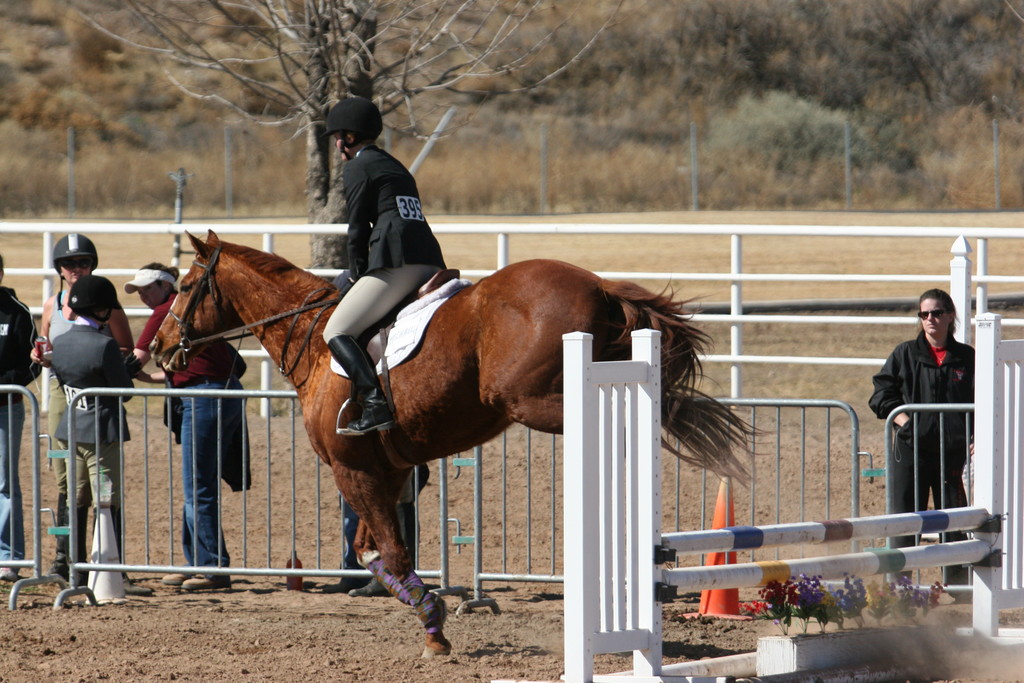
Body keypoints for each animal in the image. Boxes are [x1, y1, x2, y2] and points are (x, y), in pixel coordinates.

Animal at [151, 232, 749, 659]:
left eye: (186, 286)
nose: (158, 349)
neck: (315, 344)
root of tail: (599, 286)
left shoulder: (352, 469)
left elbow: (391, 551)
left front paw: (434, 631)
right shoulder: (387, 471)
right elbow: (374, 552)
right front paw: (429, 609)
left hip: (529, 401)